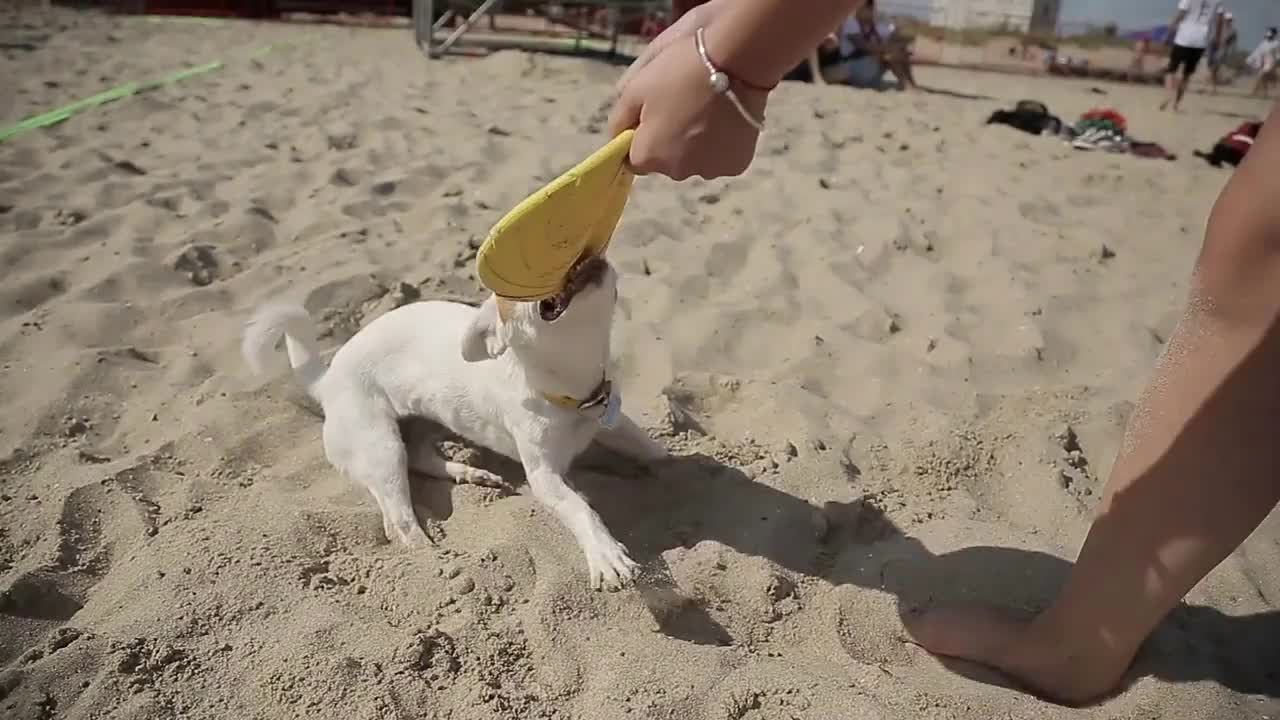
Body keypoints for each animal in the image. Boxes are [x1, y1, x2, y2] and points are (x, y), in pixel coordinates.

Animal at [238, 256, 670, 589]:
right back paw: (434, 557)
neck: (572, 389)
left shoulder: (613, 421)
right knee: (399, 521)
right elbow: (581, 508)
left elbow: (654, 451)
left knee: (419, 457)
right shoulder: (544, 476)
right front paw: (606, 555)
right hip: (380, 447)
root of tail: (325, 380)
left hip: (429, 421)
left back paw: (470, 473)